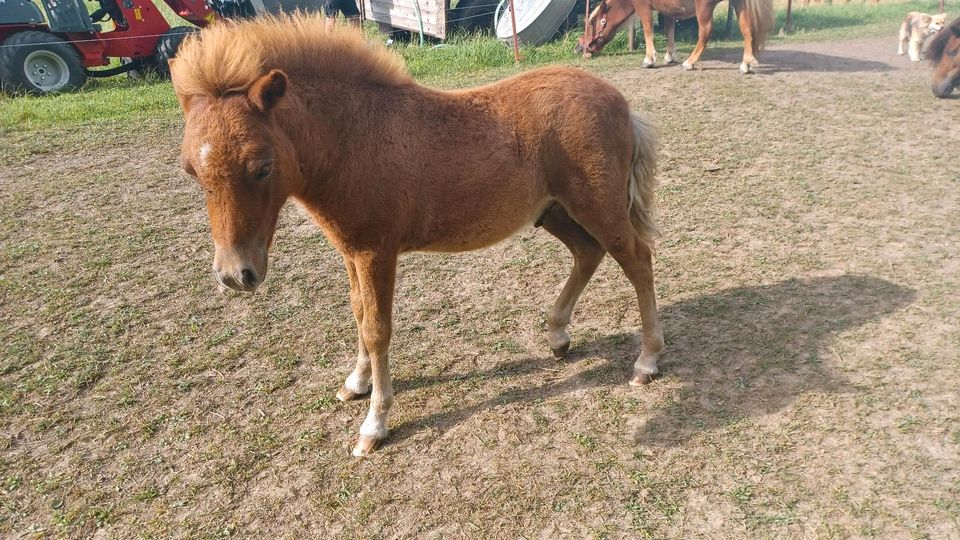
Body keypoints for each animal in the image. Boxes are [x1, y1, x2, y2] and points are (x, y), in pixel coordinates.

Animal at [172, 13, 664, 456]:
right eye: (191, 171)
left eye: (262, 167)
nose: (236, 274)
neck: (355, 139)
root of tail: (620, 102)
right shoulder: (351, 251)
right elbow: (358, 314)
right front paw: (356, 382)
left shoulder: (376, 252)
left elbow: (377, 329)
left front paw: (374, 424)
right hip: (554, 211)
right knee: (588, 253)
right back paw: (558, 337)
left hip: (596, 206)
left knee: (638, 260)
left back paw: (647, 361)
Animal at [576, 0, 772, 73]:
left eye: (591, 23)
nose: (579, 47)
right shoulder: (667, 10)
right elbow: (669, 30)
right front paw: (670, 56)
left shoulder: (644, 6)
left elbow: (648, 29)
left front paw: (649, 59)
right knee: (747, 30)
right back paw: (746, 64)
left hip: (704, 8)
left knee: (705, 32)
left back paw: (690, 62)